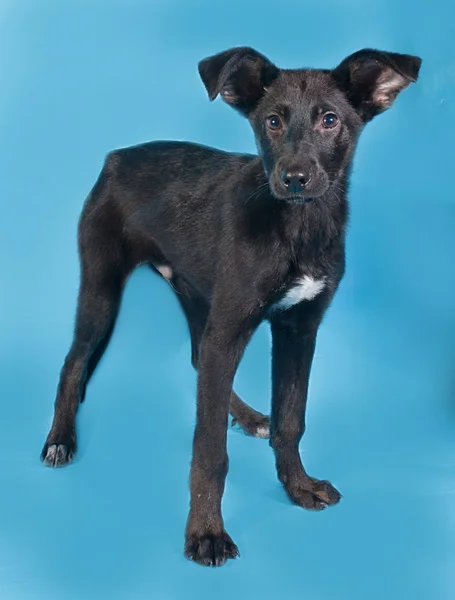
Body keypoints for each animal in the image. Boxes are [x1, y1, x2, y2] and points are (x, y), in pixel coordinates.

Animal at [41, 47, 422, 568]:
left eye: (330, 120)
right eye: (273, 122)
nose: (294, 178)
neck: (297, 224)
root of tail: (116, 157)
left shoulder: (299, 328)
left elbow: (290, 420)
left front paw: (297, 486)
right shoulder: (232, 328)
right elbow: (209, 451)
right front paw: (206, 533)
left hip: (197, 295)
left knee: (198, 358)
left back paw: (245, 415)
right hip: (102, 288)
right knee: (74, 360)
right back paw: (61, 438)